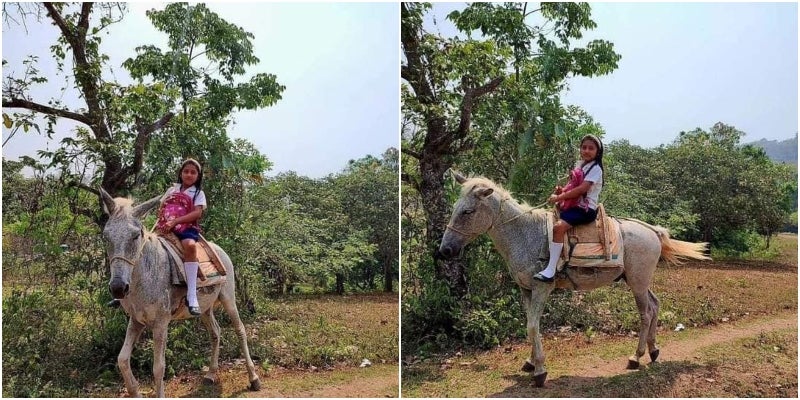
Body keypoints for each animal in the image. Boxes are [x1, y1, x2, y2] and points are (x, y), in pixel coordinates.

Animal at [99, 188, 261, 397]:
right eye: (106, 236)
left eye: (136, 236)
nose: (118, 288)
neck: (146, 274)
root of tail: (219, 249)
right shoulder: (136, 321)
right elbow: (122, 360)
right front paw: (135, 392)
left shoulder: (160, 323)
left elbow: (158, 367)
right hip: (205, 308)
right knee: (215, 332)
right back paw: (210, 374)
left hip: (228, 299)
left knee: (240, 330)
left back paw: (254, 378)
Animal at [437, 173, 709, 387]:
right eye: (455, 208)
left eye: (468, 211)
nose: (445, 250)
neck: (525, 234)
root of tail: (653, 230)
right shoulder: (526, 290)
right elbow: (530, 325)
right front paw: (530, 362)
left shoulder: (541, 288)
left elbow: (533, 326)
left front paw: (540, 371)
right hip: (639, 281)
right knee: (655, 305)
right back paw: (653, 351)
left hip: (637, 282)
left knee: (646, 313)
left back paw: (636, 356)